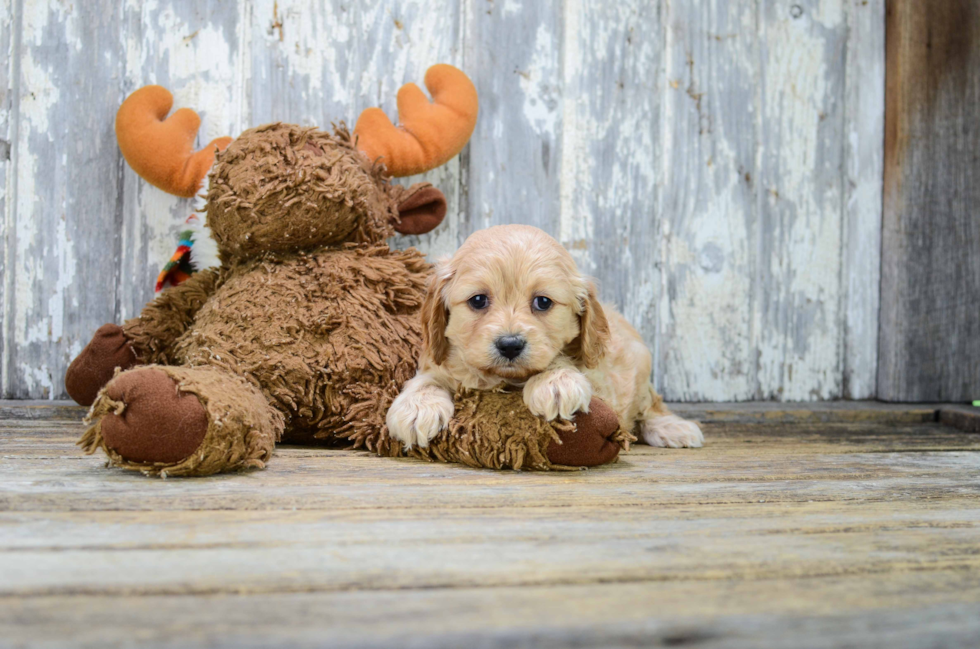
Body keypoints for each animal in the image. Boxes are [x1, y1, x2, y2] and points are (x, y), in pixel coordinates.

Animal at [384, 228, 704, 450]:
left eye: (542, 302)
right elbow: (428, 379)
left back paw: (672, 429)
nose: (510, 345)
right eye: (478, 300)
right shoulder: (439, 359)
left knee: (651, 405)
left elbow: (563, 362)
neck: (504, 380)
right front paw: (417, 409)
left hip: (641, 367)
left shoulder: (602, 379)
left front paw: (555, 382)